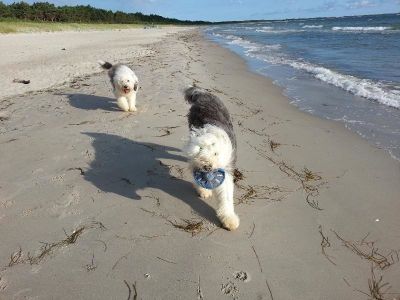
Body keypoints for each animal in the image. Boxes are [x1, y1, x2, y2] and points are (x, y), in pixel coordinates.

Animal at [184, 85, 241, 231]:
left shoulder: (226, 167)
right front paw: (204, 191)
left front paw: (229, 220)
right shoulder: (194, 162)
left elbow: (226, 195)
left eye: (215, 153)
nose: (207, 166)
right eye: (200, 150)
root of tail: (204, 94)